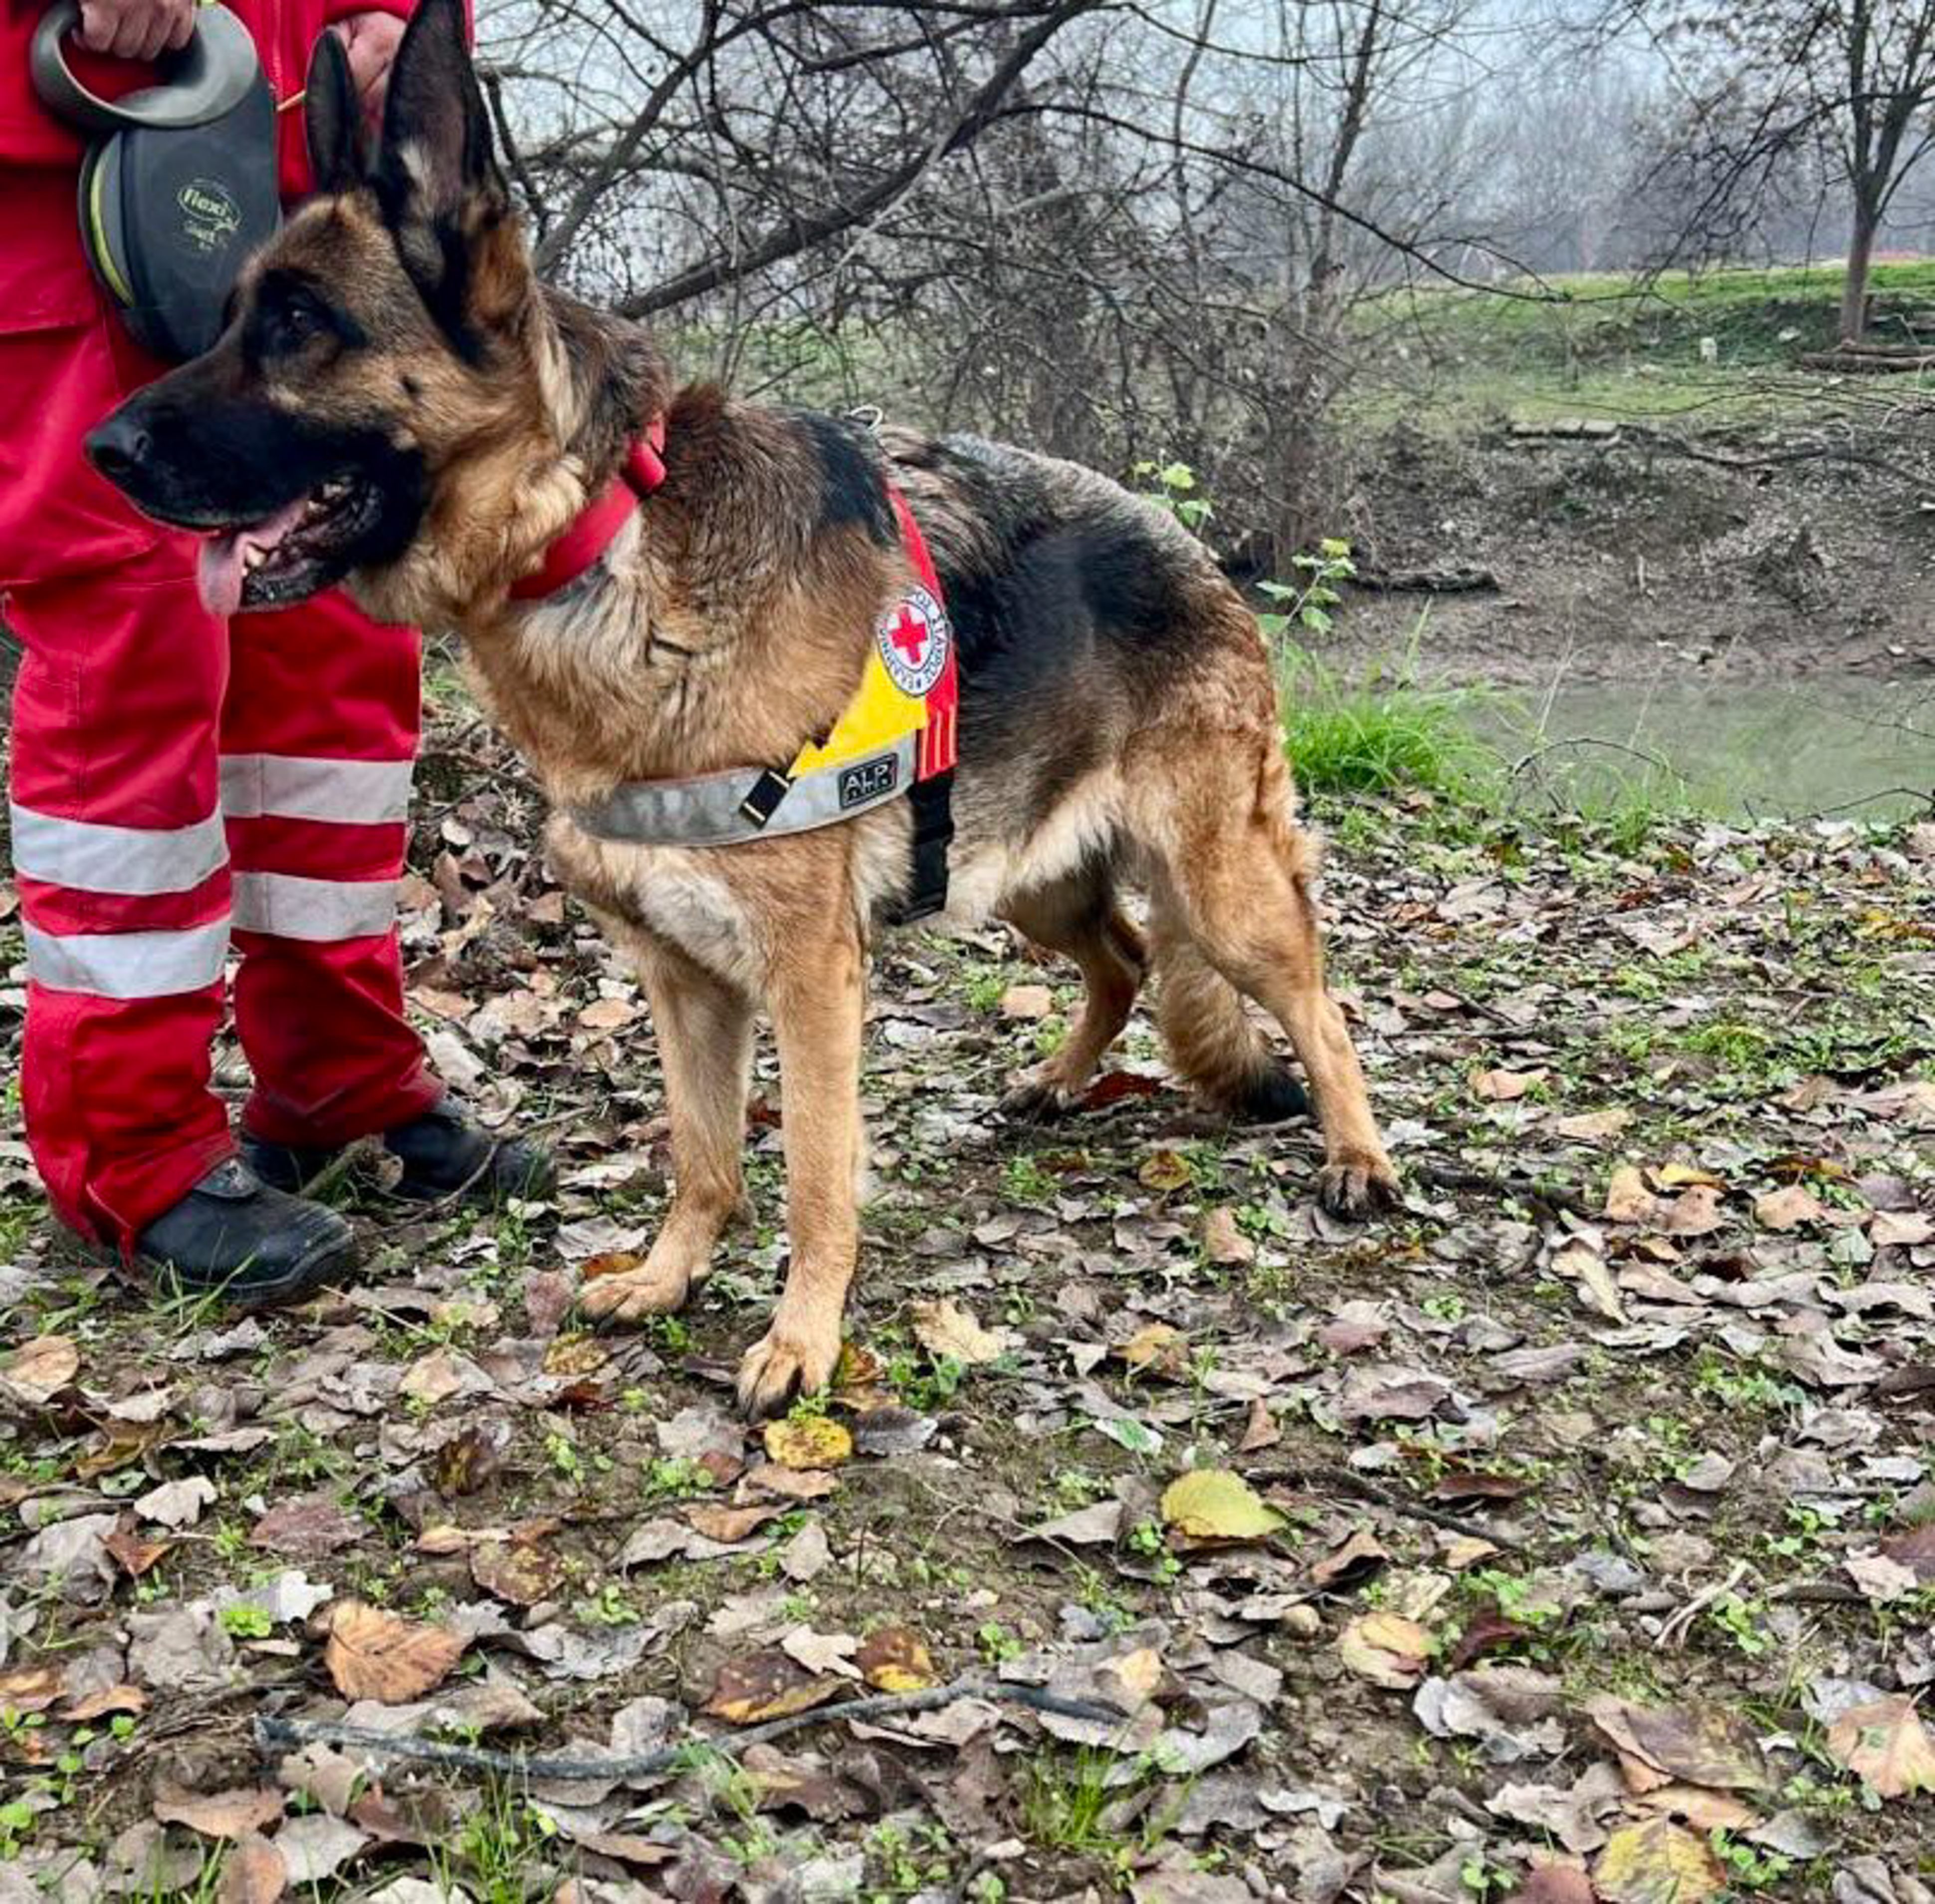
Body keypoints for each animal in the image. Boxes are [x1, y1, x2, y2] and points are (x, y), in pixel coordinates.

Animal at [91, 0, 1401, 1408]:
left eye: (297, 324)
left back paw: (1359, 1156)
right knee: (1124, 957)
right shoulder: (681, 975)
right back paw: (1057, 1081)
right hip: (1024, 872)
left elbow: (818, 1171)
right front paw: (670, 1278)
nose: (104, 452)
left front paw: (802, 1339)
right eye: (234, 314)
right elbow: (705, 1152)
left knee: (1313, 1003)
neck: (600, 539)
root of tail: (1192, 543)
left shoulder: (809, 975)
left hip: (1218, 883)